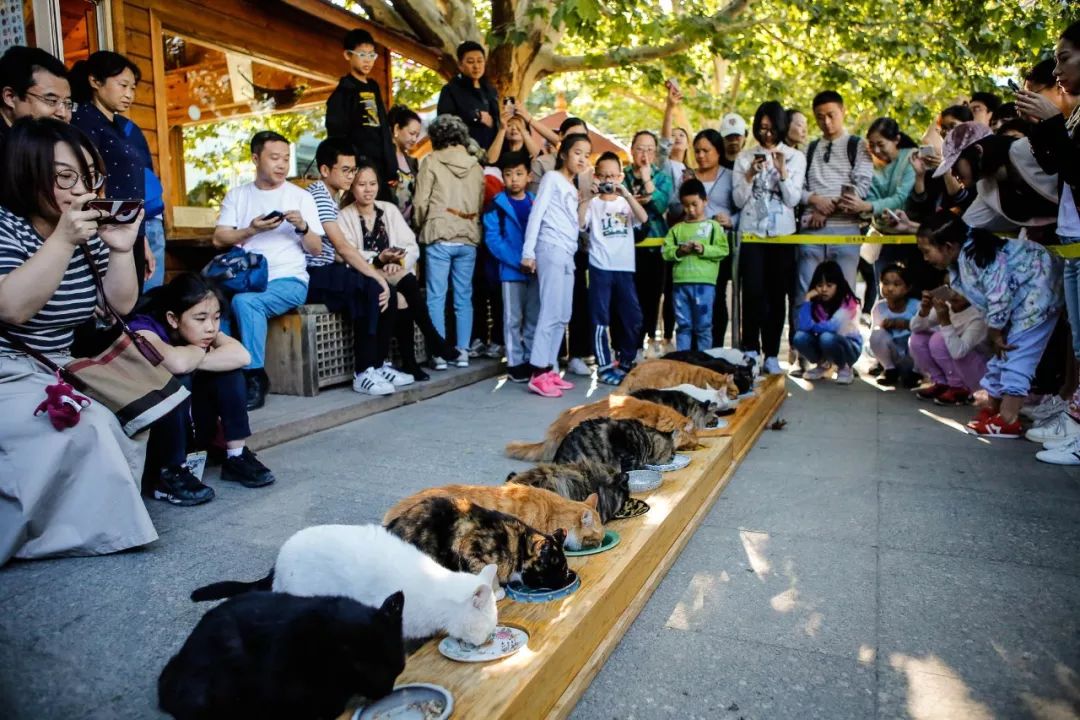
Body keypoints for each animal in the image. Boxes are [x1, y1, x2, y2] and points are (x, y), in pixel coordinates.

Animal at [388, 498, 574, 595]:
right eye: (560, 568)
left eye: (565, 569)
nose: (566, 577)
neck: (517, 546)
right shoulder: (471, 547)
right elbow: (484, 572)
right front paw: (496, 592)